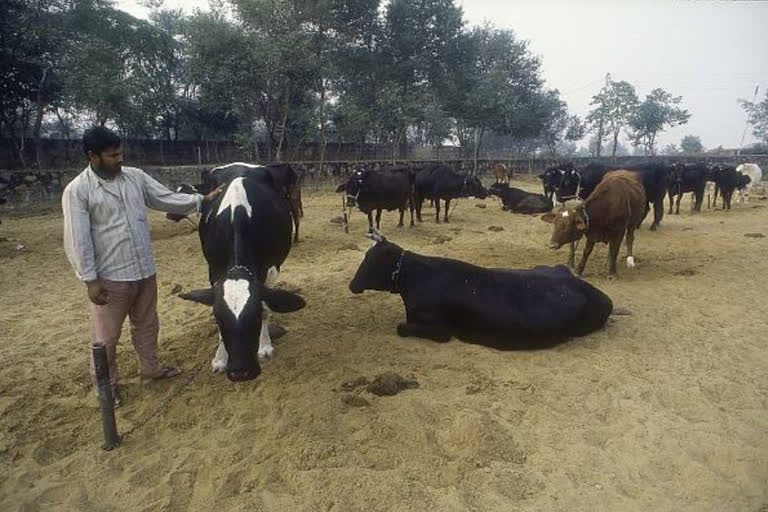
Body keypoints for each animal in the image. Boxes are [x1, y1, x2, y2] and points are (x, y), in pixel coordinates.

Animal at [178, 164, 304, 380]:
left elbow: (267, 307)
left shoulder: (272, 268)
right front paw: (220, 358)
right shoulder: (214, 270)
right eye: (218, 318)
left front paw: (264, 347)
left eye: (255, 317)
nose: (241, 372)